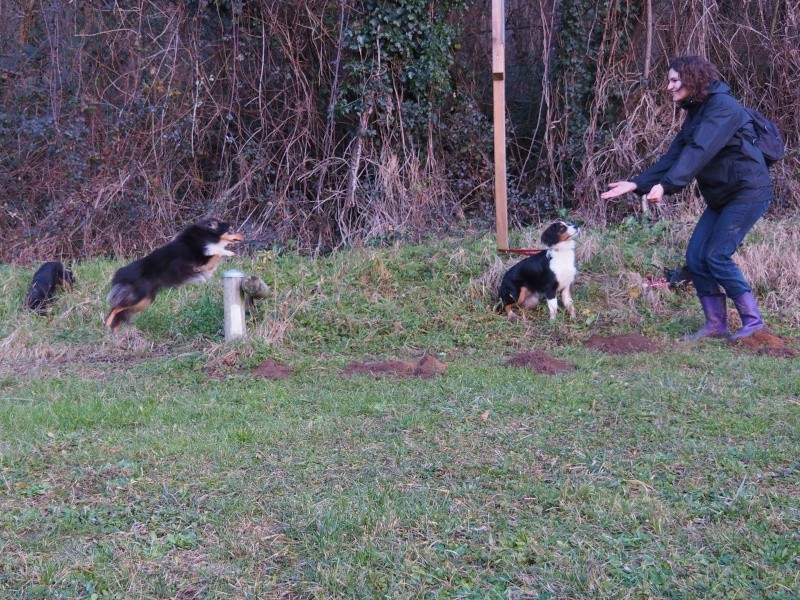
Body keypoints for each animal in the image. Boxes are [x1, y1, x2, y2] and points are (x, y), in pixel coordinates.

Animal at [106, 218, 244, 330]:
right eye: (230, 230)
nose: (243, 236)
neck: (206, 235)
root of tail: (119, 274)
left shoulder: (207, 265)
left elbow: (217, 253)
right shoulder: (202, 259)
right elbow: (216, 251)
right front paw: (230, 252)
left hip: (144, 301)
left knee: (120, 309)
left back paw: (115, 330)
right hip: (138, 296)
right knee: (116, 307)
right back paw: (107, 324)